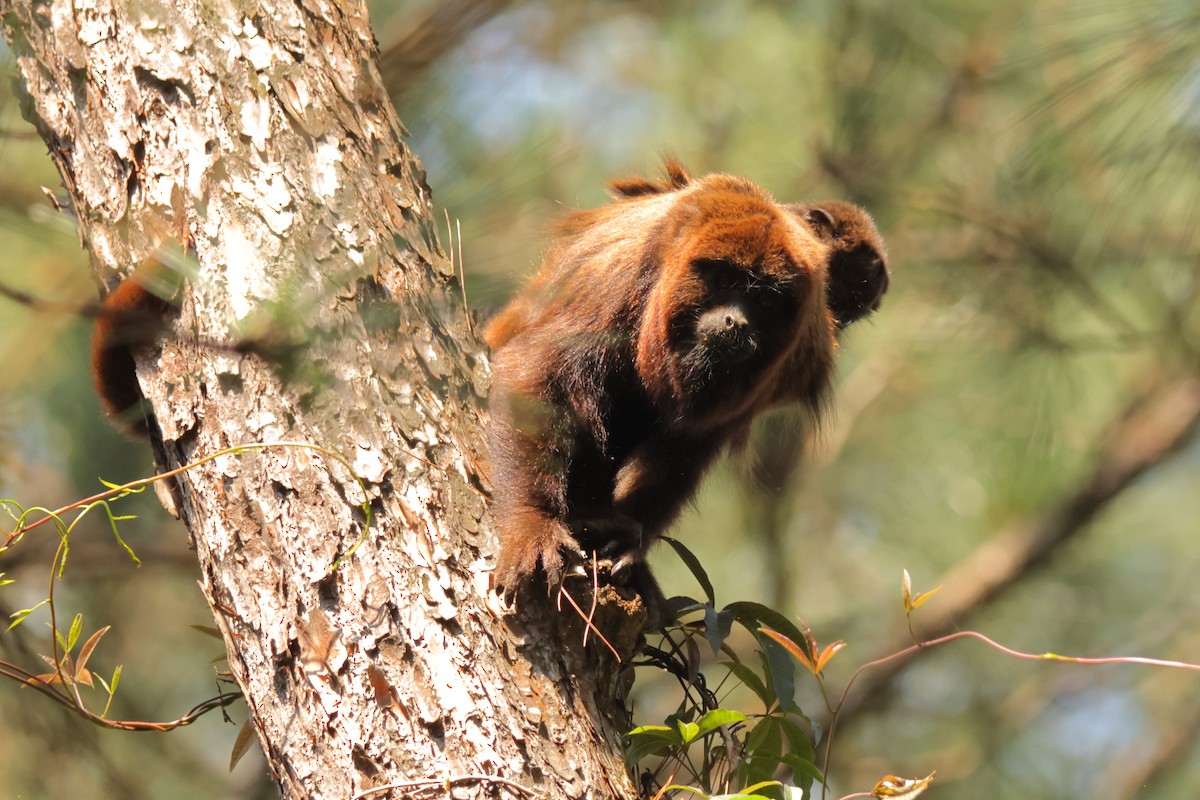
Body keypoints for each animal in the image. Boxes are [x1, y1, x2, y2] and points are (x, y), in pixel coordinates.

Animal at [485, 160, 889, 620]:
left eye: (766, 301)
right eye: (726, 279)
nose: (736, 322)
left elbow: (690, 444)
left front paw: (631, 541)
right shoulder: (618, 279)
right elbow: (537, 369)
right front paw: (531, 523)